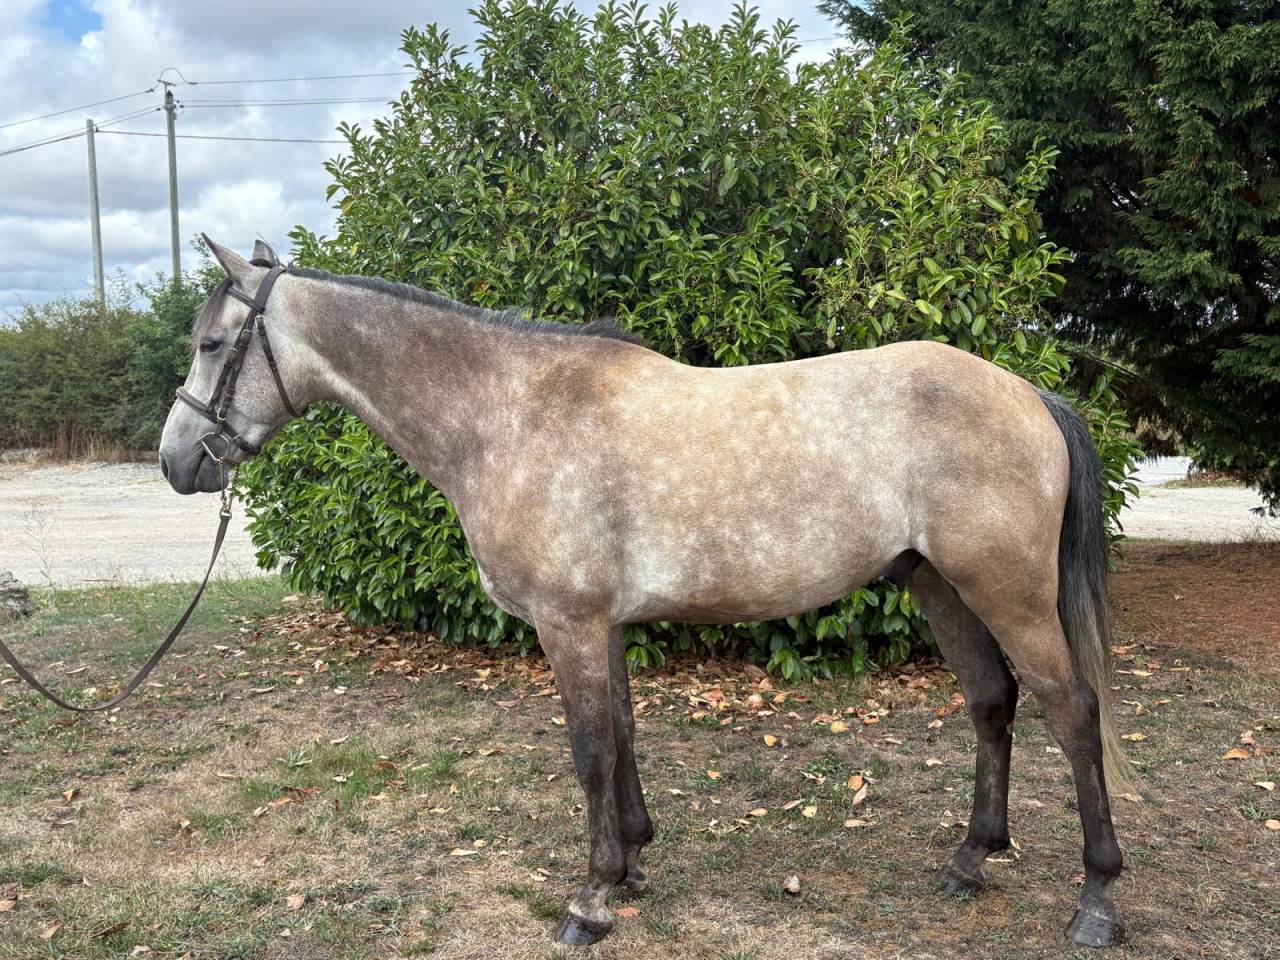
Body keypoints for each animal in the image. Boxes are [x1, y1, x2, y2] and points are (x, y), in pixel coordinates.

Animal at [158, 237, 1133, 949]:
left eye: (211, 344)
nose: (176, 462)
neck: (510, 414)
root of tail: (1031, 394)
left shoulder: (569, 624)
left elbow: (590, 750)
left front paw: (590, 902)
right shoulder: (604, 626)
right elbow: (622, 738)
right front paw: (631, 862)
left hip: (1006, 592)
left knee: (1073, 713)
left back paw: (1097, 902)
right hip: (940, 586)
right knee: (992, 703)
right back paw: (970, 860)